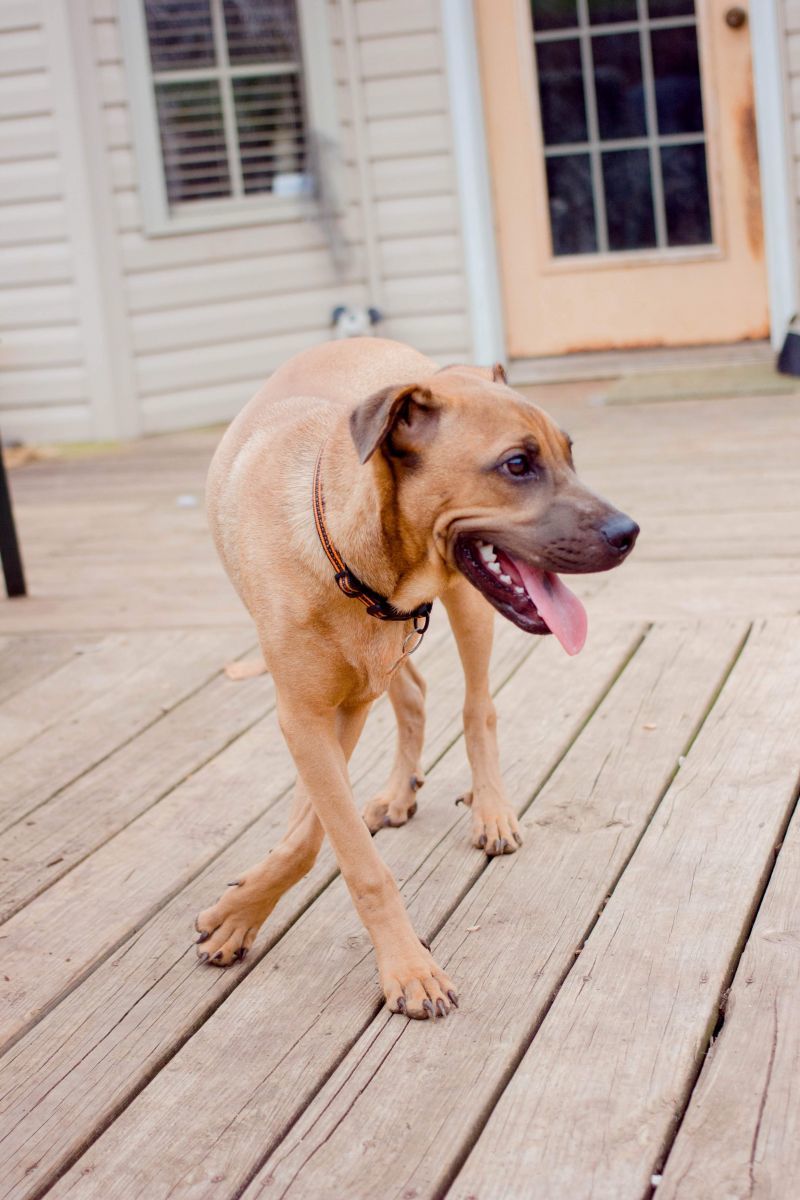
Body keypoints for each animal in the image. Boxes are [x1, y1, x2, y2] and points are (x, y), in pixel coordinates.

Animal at [200, 338, 638, 1022]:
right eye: (517, 464)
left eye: (570, 455)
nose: (628, 533)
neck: (346, 548)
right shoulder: (309, 714)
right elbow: (332, 840)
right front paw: (248, 908)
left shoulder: (340, 711)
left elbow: (315, 836)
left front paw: (247, 910)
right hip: (390, 650)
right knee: (412, 695)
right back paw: (398, 790)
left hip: (465, 609)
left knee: (477, 707)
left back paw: (491, 810)